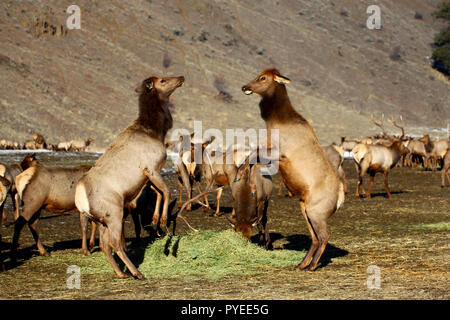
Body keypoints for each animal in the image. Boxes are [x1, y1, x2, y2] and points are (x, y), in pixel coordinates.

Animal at [74, 74, 184, 278]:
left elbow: (158, 193)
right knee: (115, 243)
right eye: (162, 81)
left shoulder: (147, 175)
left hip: (101, 220)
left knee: (105, 245)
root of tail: (80, 201)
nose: (181, 77)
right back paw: (136, 272)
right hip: (114, 213)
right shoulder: (151, 167)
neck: (156, 131)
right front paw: (163, 222)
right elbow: (165, 191)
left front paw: (156, 221)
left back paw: (121, 273)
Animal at [239, 69, 344, 272]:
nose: (244, 87)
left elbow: (251, 157)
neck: (275, 122)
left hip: (316, 211)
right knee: (315, 238)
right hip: (304, 208)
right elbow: (252, 159)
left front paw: (243, 178)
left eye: (263, 77)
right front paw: (250, 184)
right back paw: (301, 264)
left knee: (324, 236)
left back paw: (311, 266)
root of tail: (340, 199)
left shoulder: (280, 152)